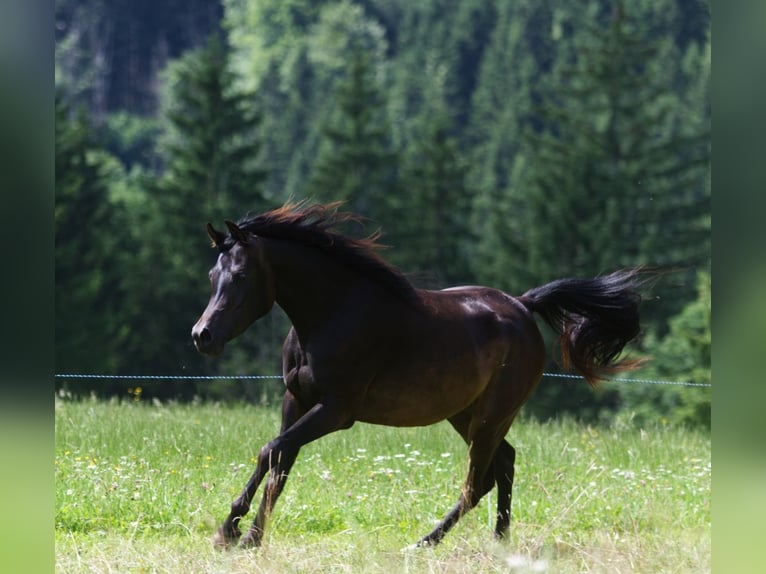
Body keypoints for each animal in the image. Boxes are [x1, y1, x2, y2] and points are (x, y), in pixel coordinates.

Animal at [191, 201, 647, 549]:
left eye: (241, 275)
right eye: (213, 276)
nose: (202, 335)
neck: (330, 315)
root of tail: (522, 304)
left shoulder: (336, 411)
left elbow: (271, 451)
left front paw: (231, 533)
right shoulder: (296, 401)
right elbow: (279, 464)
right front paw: (243, 536)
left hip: (492, 416)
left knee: (477, 482)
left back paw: (427, 542)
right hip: (465, 415)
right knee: (503, 465)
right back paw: (496, 542)